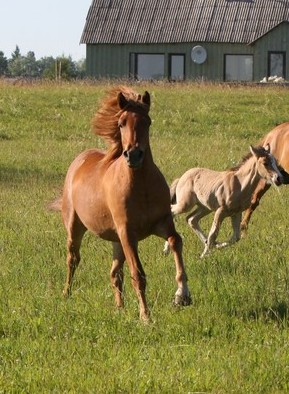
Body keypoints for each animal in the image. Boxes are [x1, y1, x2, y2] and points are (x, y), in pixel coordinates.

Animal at [50, 85, 190, 320]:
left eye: (147, 121)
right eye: (121, 123)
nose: (133, 154)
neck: (141, 186)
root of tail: (79, 160)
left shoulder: (161, 224)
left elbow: (175, 241)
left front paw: (182, 295)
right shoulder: (128, 233)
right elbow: (138, 274)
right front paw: (146, 317)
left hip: (116, 240)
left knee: (115, 273)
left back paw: (120, 308)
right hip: (75, 227)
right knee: (73, 259)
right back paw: (65, 294)